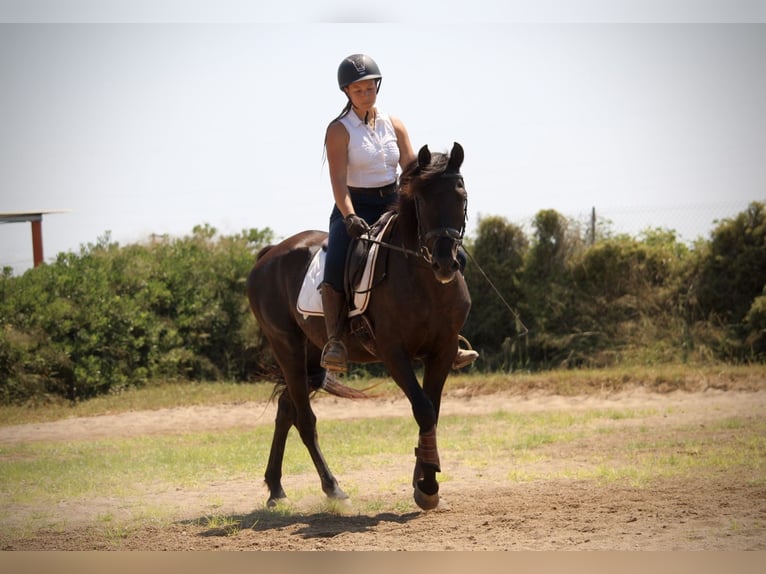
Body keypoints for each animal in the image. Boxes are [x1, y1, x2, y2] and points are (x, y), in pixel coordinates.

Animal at [246, 142, 471, 510]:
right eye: (422, 200)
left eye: (461, 196)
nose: (444, 263)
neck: (424, 280)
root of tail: (269, 254)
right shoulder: (394, 353)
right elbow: (423, 409)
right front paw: (427, 487)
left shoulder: (444, 349)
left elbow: (432, 411)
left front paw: (423, 475)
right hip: (287, 347)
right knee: (305, 419)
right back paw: (332, 486)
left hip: (312, 357)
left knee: (286, 410)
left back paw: (276, 488)